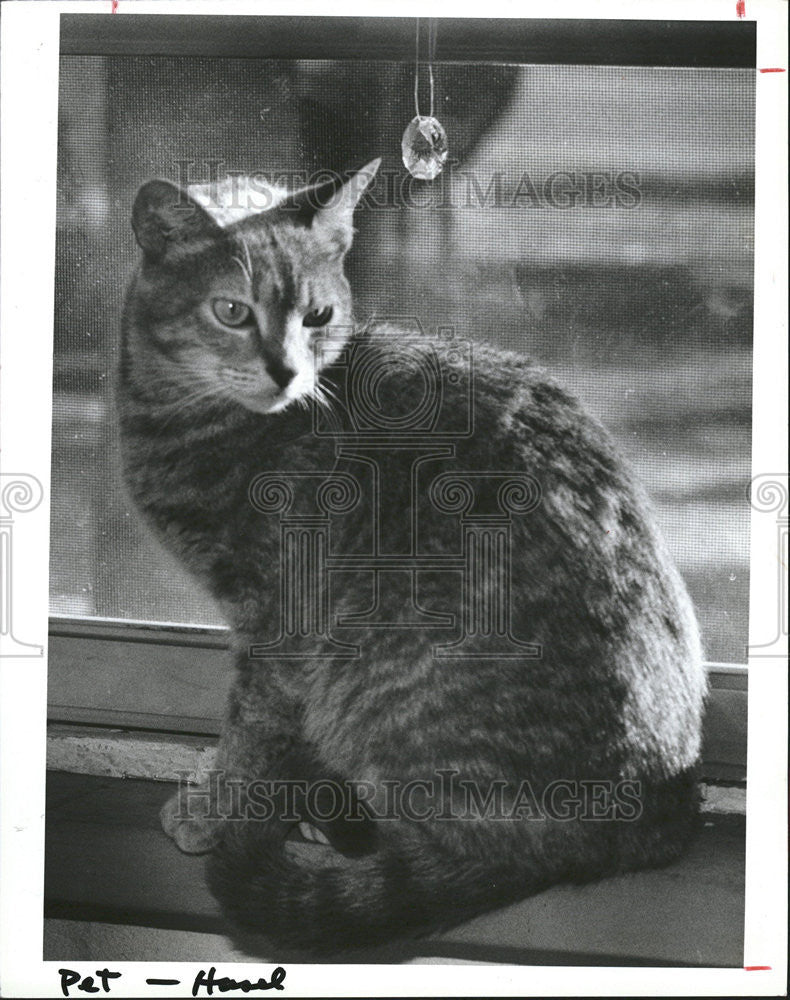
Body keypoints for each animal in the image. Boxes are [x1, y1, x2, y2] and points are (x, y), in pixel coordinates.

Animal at [116, 162, 704, 952]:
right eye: (232, 312)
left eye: (319, 316)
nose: (285, 372)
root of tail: (654, 819)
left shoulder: (279, 623)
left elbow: (250, 730)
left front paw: (217, 806)